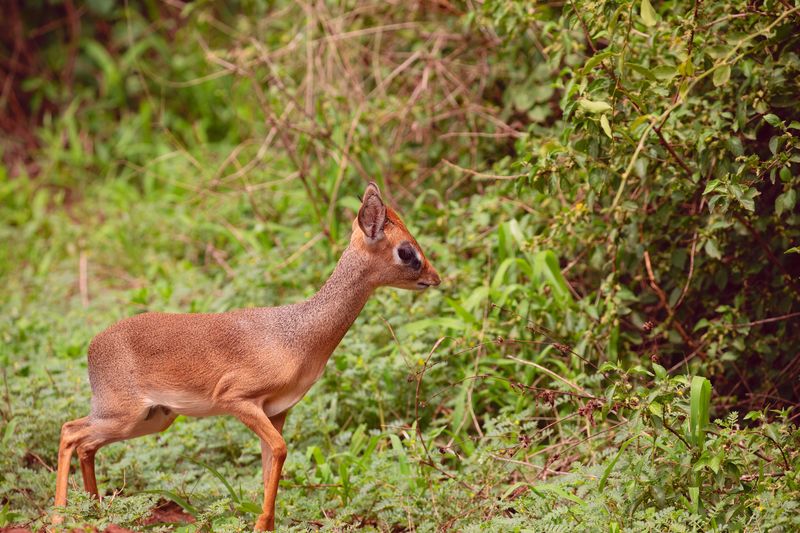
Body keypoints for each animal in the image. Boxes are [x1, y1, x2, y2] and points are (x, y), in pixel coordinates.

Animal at [53, 182, 441, 531]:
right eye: (407, 251)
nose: (435, 279)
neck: (297, 335)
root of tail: (93, 346)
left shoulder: (278, 411)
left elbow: (272, 464)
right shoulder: (238, 399)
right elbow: (281, 451)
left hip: (151, 418)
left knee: (87, 445)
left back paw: (92, 514)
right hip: (124, 414)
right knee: (70, 431)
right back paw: (59, 518)